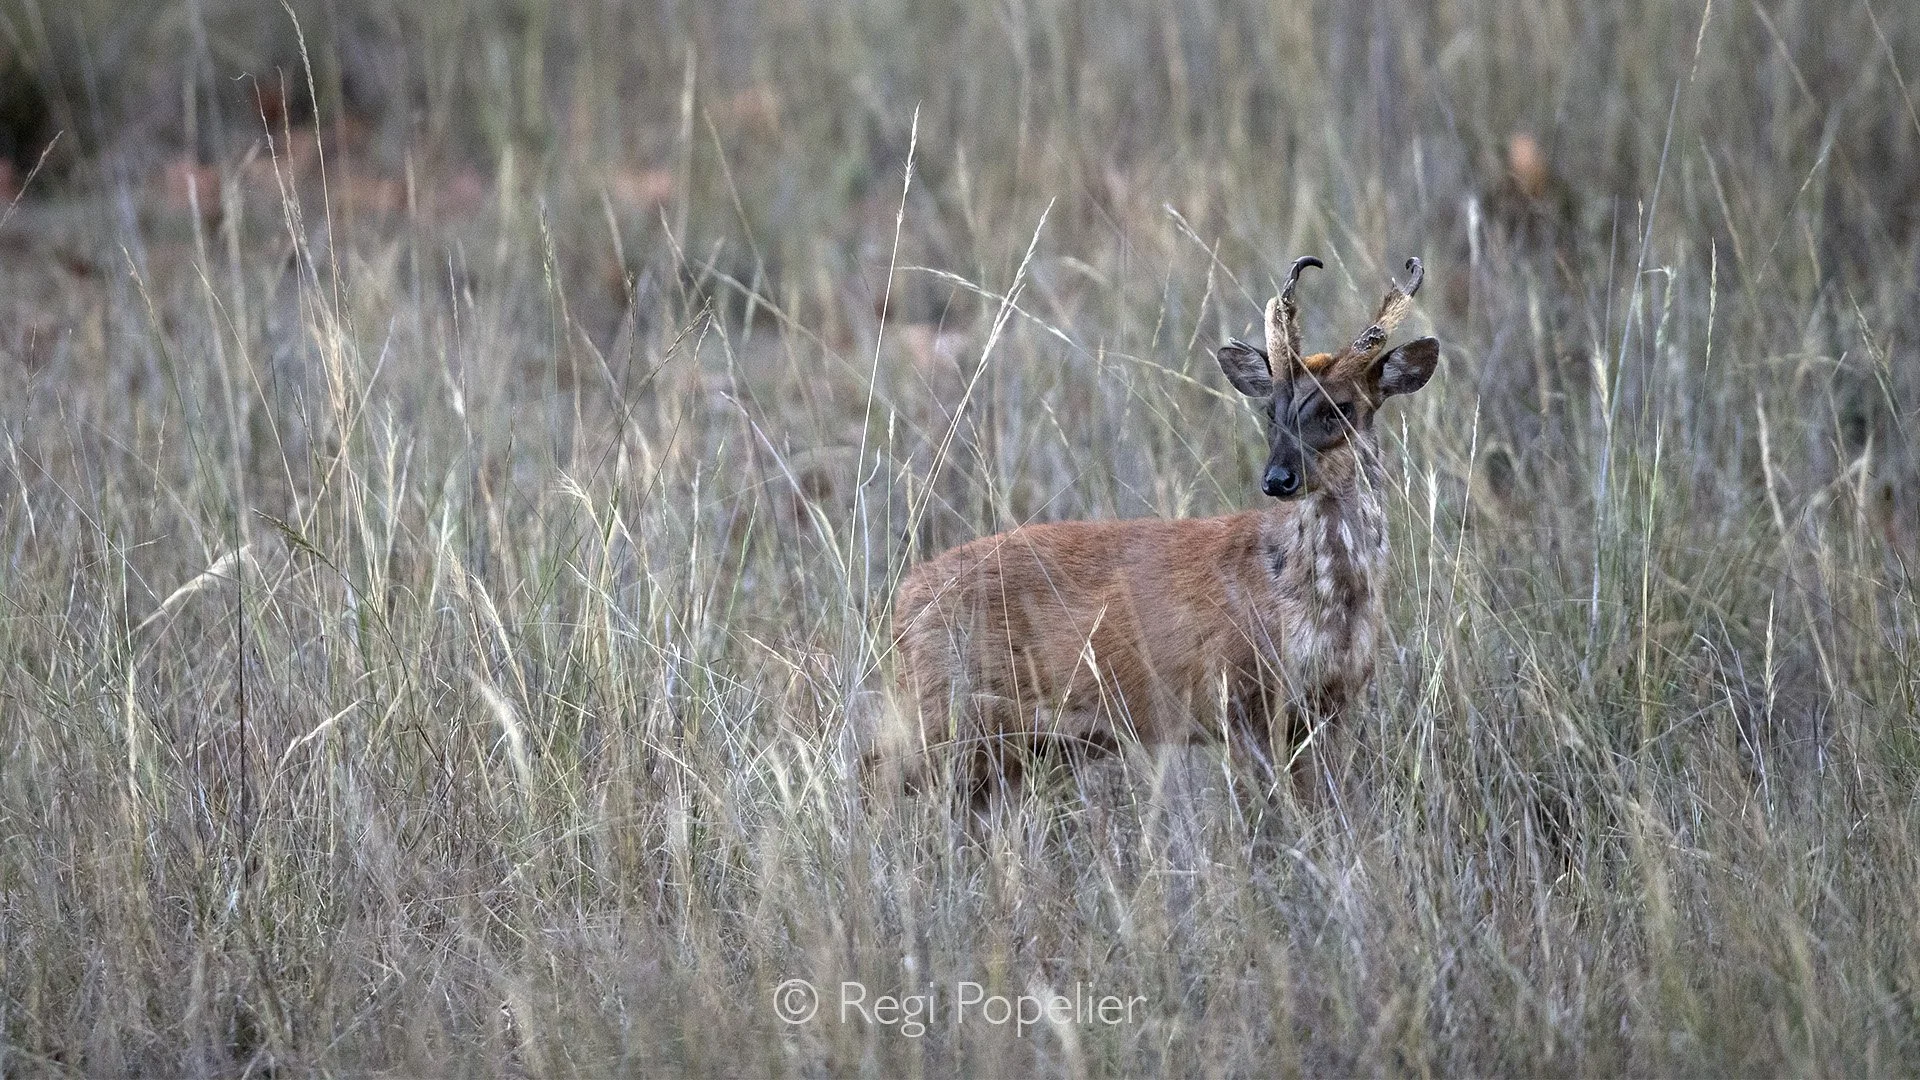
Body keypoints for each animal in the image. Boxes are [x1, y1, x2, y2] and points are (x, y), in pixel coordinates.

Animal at [883, 256, 1438, 799]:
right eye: (1270, 412)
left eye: (1340, 408)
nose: (1278, 478)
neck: (1319, 599)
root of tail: (900, 605)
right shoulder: (1238, 697)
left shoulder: (1330, 705)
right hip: (948, 718)